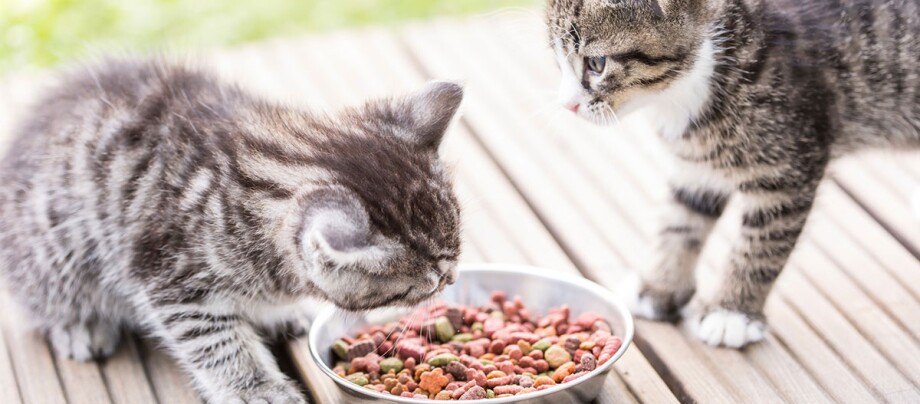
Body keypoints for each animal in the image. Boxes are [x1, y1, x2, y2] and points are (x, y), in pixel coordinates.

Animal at [0, 58, 464, 402]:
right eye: (425, 284)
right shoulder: (170, 278)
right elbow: (217, 342)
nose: (452, 279)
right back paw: (79, 325)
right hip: (54, 249)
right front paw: (256, 387)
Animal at [548, 0, 920, 348]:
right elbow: (679, 222)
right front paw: (658, 289)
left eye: (597, 64)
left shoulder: (790, 166)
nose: (566, 105)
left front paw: (732, 312)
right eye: (558, 61)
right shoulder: (697, 168)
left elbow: (762, 244)